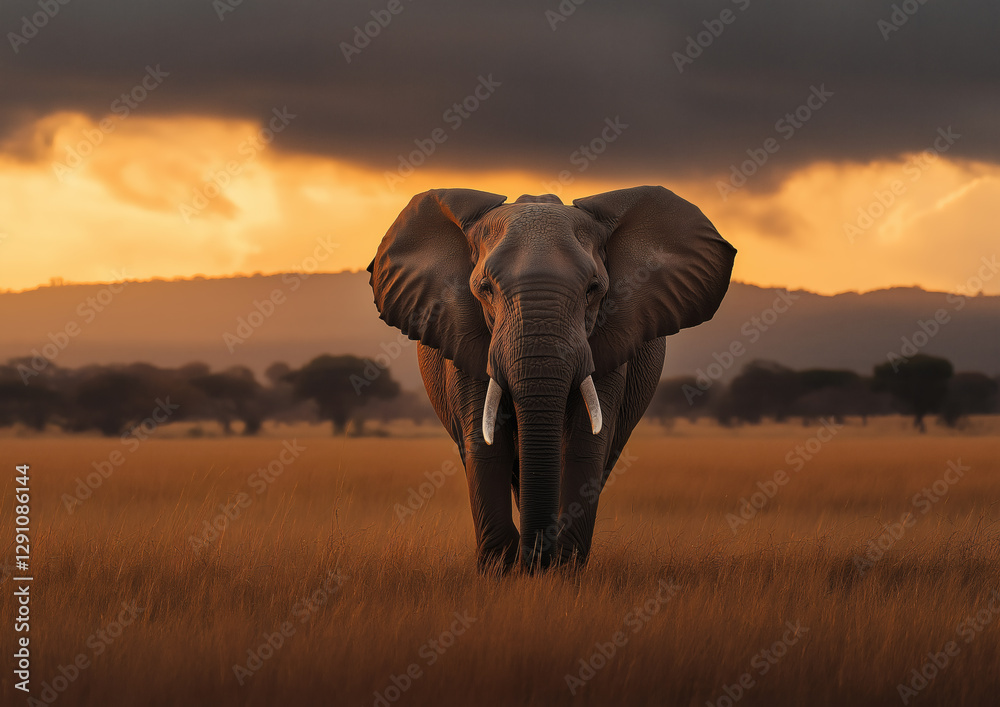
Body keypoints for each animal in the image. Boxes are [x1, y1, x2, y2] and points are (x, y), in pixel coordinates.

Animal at [368, 186, 736, 572]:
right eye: (485, 288)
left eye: (593, 289)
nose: (536, 563)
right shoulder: (465, 335)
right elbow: (486, 443)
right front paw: (500, 570)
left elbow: (585, 444)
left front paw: (563, 570)